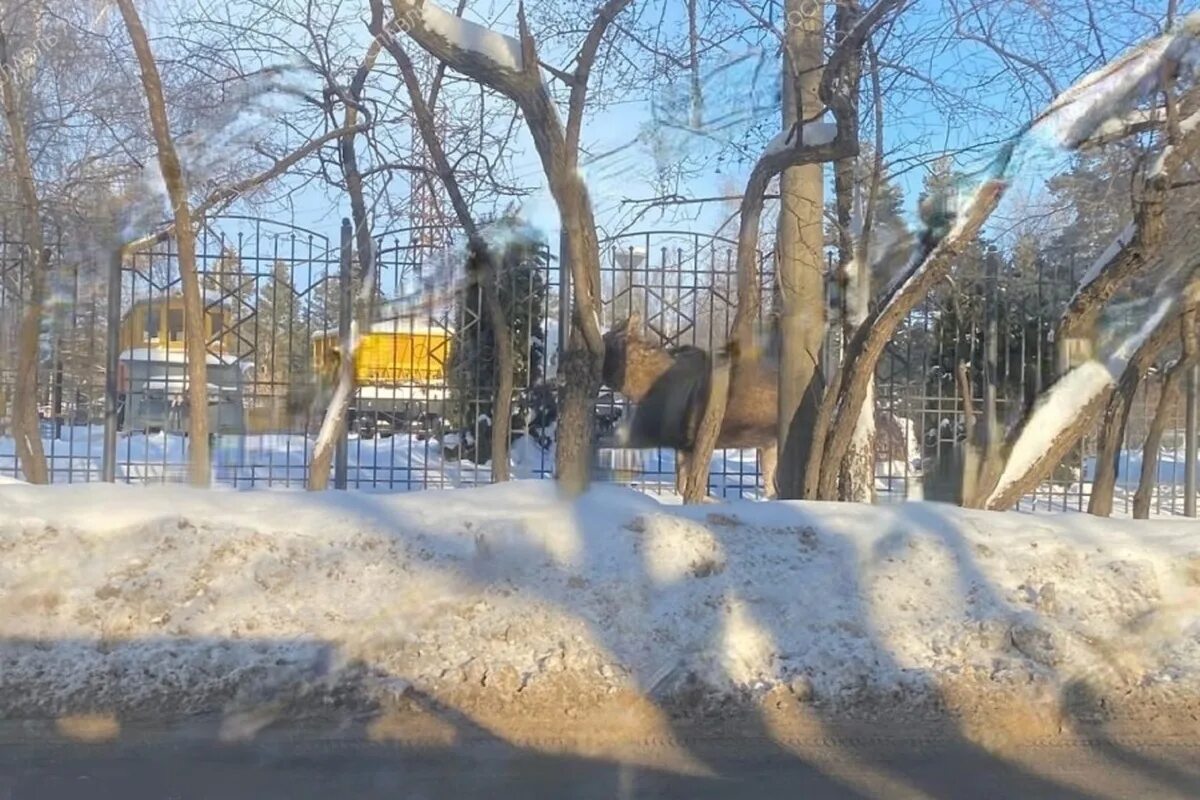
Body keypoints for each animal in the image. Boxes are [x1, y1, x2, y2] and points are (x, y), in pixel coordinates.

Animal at [600, 314, 777, 496]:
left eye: (604, 342)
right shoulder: (682, 446)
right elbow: (682, 486)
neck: (641, 388)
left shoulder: (690, 445)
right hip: (769, 446)